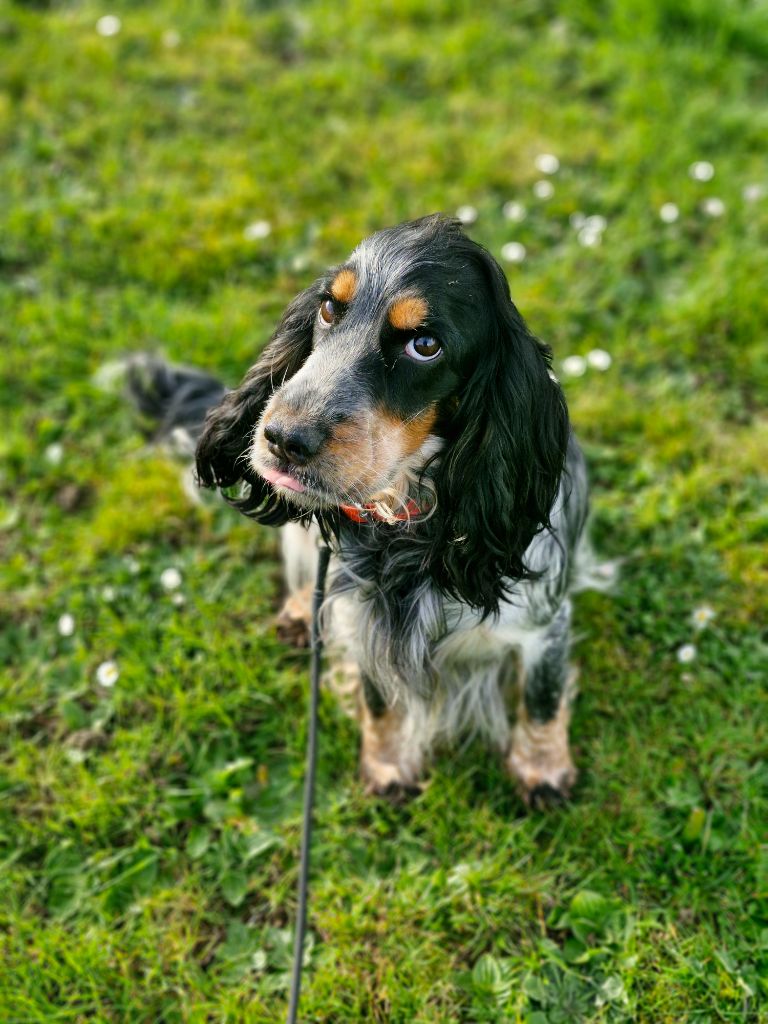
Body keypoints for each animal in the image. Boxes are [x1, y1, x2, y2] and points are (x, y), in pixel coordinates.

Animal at [132, 214, 614, 806]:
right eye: (328, 309)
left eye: (425, 344)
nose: (281, 438)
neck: (409, 524)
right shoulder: (360, 618)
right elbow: (378, 698)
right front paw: (387, 767)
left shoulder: (544, 622)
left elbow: (542, 700)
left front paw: (543, 770)